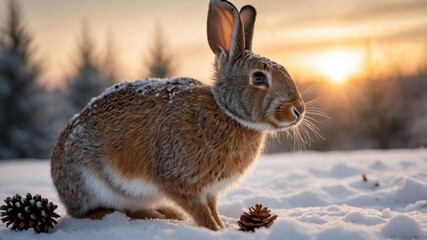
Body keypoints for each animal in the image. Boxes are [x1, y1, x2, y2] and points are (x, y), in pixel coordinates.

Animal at [50, 0, 306, 231]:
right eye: (259, 78)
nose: (299, 110)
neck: (226, 112)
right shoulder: (179, 182)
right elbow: (200, 211)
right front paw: (215, 230)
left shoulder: (209, 191)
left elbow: (212, 208)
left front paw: (222, 226)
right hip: (91, 183)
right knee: (95, 211)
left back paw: (167, 213)